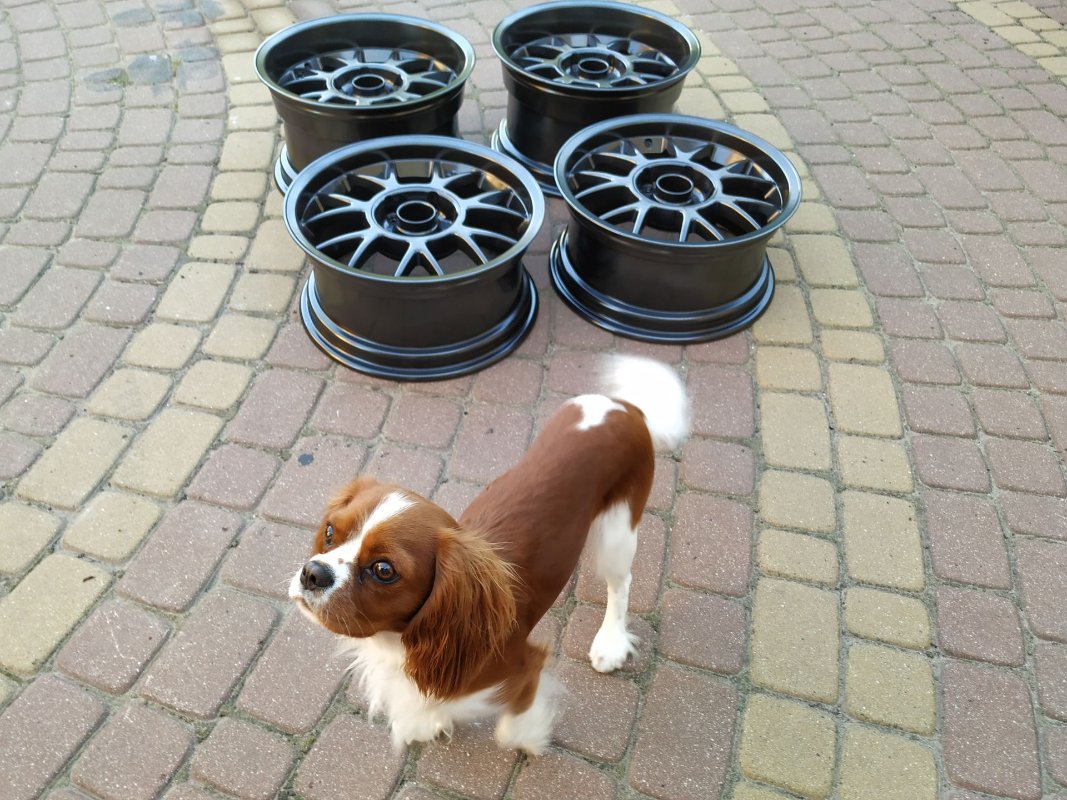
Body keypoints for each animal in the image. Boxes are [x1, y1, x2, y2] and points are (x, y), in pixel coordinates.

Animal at [289, 355, 689, 754]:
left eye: (383, 570)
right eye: (329, 532)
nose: (313, 573)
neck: (399, 642)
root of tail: (625, 407)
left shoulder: (524, 666)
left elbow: (510, 730)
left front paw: (531, 737)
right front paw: (429, 722)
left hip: (616, 533)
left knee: (620, 584)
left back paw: (611, 642)